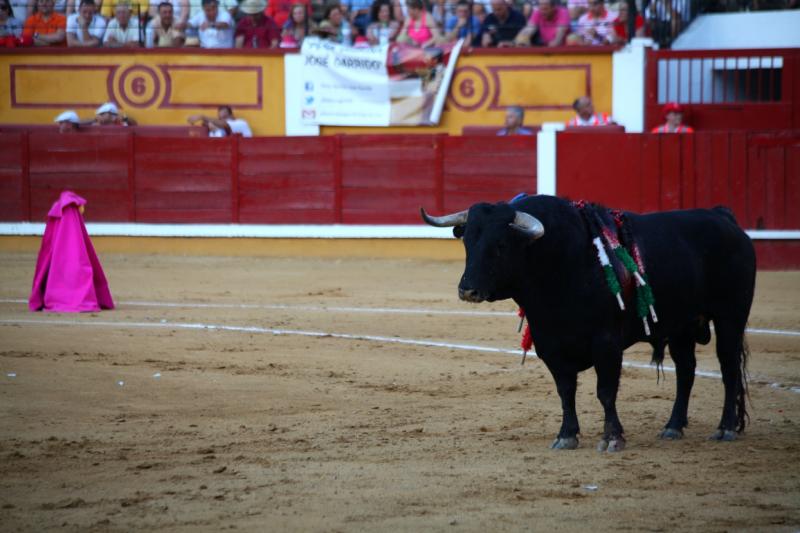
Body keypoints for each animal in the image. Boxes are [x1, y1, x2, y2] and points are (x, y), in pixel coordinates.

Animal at [424, 193, 756, 450]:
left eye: (501, 245)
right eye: (467, 241)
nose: (468, 290)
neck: (560, 261)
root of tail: (722, 216)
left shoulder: (606, 343)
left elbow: (605, 391)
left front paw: (612, 438)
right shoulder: (550, 343)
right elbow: (565, 391)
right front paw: (566, 436)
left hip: (730, 317)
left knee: (728, 368)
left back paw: (725, 428)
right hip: (681, 326)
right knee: (686, 371)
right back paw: (673, 426)